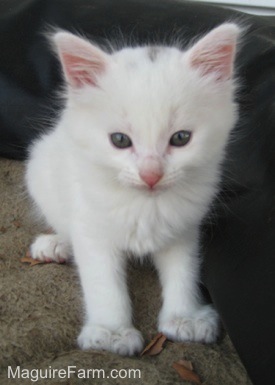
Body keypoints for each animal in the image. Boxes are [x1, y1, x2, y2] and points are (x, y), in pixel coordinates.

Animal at [26, 23, 242, 354]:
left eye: (181, 138)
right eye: (120, 140)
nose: (151, 174)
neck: (146, 205)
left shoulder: (183, 226)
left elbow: (184, 270)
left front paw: (185, 318)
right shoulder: (91, 227)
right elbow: (103, 283)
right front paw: (111, 332)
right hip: (41, 172)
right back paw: (56, 245)